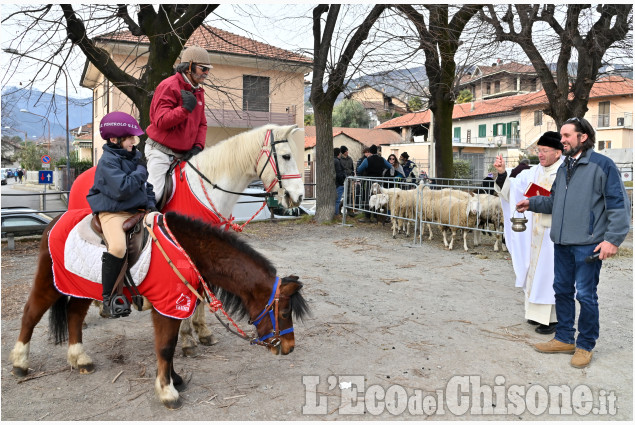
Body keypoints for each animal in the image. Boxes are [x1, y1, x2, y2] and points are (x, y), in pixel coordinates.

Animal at [8, 210, 310, 410]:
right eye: (284, 313)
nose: (289, 347)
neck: (184, 250)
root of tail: (53, 222)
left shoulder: (175, 306)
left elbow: (172, 345)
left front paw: (174, 379)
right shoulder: (166, 307)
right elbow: (165, 347)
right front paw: (167, 392)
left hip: (82, 286)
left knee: (73, 316)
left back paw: (80, 359)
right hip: (49, 282)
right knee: (30, 314)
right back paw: (20, 363)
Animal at [72, 122, 306, 354]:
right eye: (286, 156)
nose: (298, 196)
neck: (207, 191)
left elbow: (203, 288)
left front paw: (202, 331)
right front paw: (186, 337)